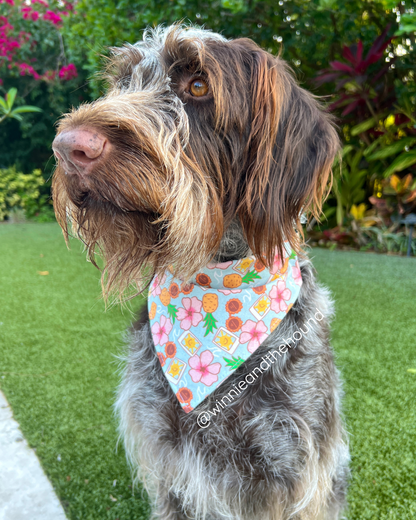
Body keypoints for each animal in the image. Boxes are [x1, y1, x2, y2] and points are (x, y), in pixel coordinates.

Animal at [52, 24, 352, 520]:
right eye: (122, 84)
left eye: (198, 85)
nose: (69, 147)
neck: (215, 287)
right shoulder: (168, 462)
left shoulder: (289, 472)